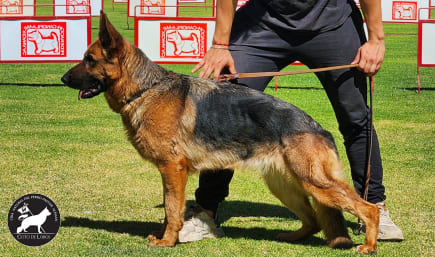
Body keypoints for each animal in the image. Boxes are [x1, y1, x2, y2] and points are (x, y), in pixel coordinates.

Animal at [60, 11, 378, 252]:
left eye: (89, 59)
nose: (63, 78)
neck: (145, 89)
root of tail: (317, 127)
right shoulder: (171, 171)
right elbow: (171, 208)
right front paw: (167, 237)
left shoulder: (172, 169)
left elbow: (171, 209)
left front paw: (167, 241)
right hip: (285, 185)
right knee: (313, 221)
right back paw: (291, 237)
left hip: (315, 183)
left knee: (367, 208)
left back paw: (369, 244)